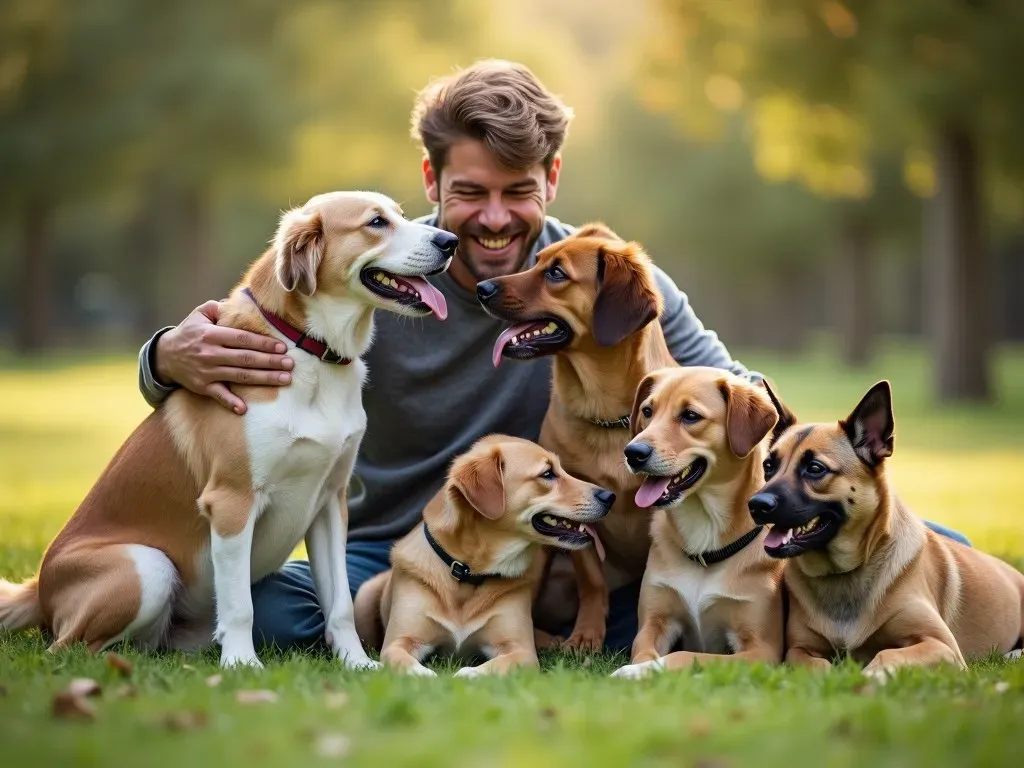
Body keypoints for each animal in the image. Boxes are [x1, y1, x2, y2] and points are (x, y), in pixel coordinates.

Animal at [0, 193, 456, 671]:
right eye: (376, 222)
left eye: (401, 215)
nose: (450, 241)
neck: (311, 352)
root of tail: (39, 589)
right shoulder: (232, 501)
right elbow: (240, 606)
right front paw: (242, 665)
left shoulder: (330, 503)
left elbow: (340, 605)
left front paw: (357, 663)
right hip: (148, 568)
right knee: (67, 649)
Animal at [352, 436, 614, 675]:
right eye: (548, 473)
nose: (609, 496)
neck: (468, 575)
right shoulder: (398, 642)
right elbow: (409, 665)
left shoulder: (521, 650)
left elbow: (483, 669)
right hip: (364, 597)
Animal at [475, 222, 675, 651]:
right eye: (536, 261)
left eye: (555, 273)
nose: (482, 288)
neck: (608, 414)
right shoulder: (579, 506)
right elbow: (592, 581)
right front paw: (586, 633)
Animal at [610, 370, 786, 675]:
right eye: (647, 411)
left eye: (690, 416)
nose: (632, 452)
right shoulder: (652, 625)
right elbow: (644, 653)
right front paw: (637, 670)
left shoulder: (761, 651)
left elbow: (683, 656)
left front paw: (636, 672)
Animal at [745, 380, 1024, 679]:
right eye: (768, 466)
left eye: (815, 468)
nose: (756, 505)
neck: (841, 575)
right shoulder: (799, 649)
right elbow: (814, 664)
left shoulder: (941, 645)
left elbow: (887, 653)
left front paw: (869, 676)